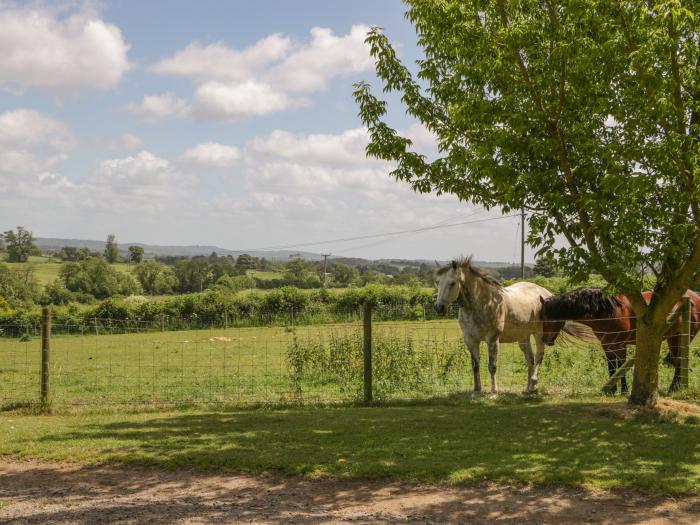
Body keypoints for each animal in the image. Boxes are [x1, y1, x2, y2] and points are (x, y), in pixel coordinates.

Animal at [540, 286, 700, 392]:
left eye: (548, 319)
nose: (546, 340)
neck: (608, 311)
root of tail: (694, 297)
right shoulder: (607, 344)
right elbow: (611, 366)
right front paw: (611, 389)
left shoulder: (621, 345)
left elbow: (621, 365)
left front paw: (623, 389)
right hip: (673, 338)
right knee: (678, 360)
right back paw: (676, 387)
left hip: (683, 337)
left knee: (679, 361)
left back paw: (674, 388)